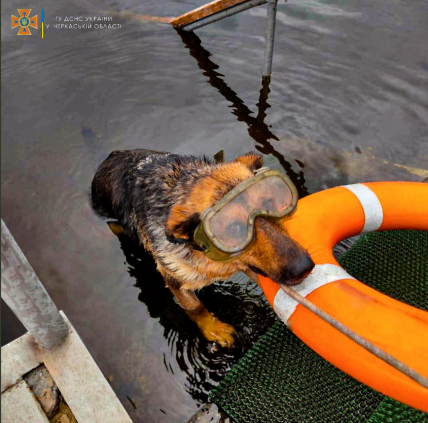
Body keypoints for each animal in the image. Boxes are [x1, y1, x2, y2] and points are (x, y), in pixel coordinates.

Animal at [91, 149, 314, 346]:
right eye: (233, 229)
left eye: (270, 202)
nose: (304, 267)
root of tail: (111, 156)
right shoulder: (173, 276)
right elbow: (195, 308)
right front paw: (214, 329)